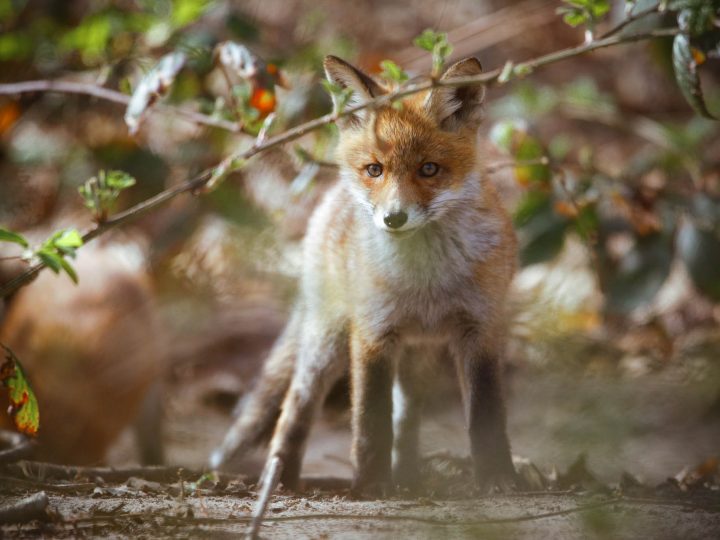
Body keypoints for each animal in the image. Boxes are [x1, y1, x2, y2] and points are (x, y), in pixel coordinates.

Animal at [208, 54, 516, 498]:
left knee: (406, 419)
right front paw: (371, 485)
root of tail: (329, 200)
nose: (394, 218)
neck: (426, 280)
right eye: (375, 169)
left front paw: (497, 478)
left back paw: (409, 477)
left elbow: (486, 414)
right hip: (326, 341)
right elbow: (370, 420)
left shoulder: (481, 328)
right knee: (295, 407)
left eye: (429, 169)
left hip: (418, 357)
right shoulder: (373, 332)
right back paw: (279, 478)